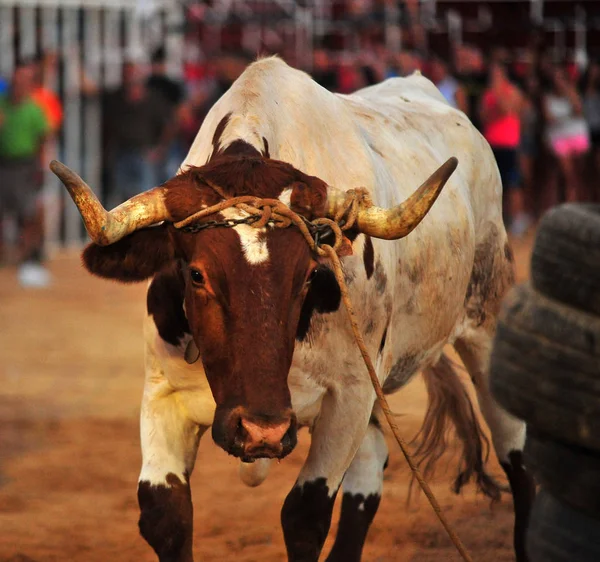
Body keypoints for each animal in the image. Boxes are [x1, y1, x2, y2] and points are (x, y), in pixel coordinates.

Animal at [52, 58, 536, 560]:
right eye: (197, 275)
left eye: (307, 276)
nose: (260, 431)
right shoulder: (162, 394)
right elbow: (165, 513)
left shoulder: (350, 397)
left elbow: (305, 515)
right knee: (371, 469)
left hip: (486, 328)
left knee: (517, 458)